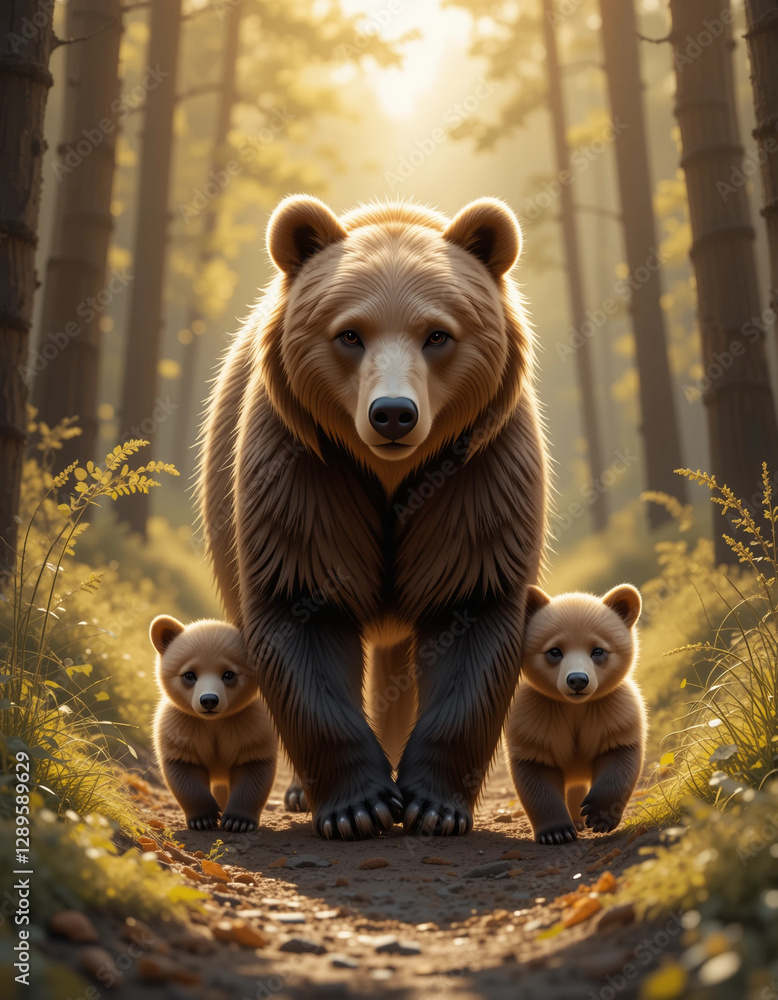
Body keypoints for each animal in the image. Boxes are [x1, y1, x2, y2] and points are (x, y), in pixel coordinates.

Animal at [151, 615, 277, 833]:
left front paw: (238, 821)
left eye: (229, 674)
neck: (214, 722)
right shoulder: (182, 726)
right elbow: (184, 767)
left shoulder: (251, 726)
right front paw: (204, 818)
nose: (209, 700)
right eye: (189, 674)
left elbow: (254, 766)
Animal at [198, 194, 548, 840]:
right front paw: (358, 807)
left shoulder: (474, 477)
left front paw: (433, 805)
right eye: (349, 333)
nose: (392, 414)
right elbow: (302, 608)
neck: (390, 478)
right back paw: (300, 790)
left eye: (437, 334)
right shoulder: (307, 474)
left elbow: (472, 608)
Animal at [505, 585, 646, 845]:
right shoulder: (535, 718)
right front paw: (556, 832)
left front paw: (598, 816)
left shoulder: (612, 711)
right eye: (555, 651)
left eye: (598, 650)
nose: (578, 680)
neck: (575, 706)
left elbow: (620, 754)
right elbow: (535, 771)